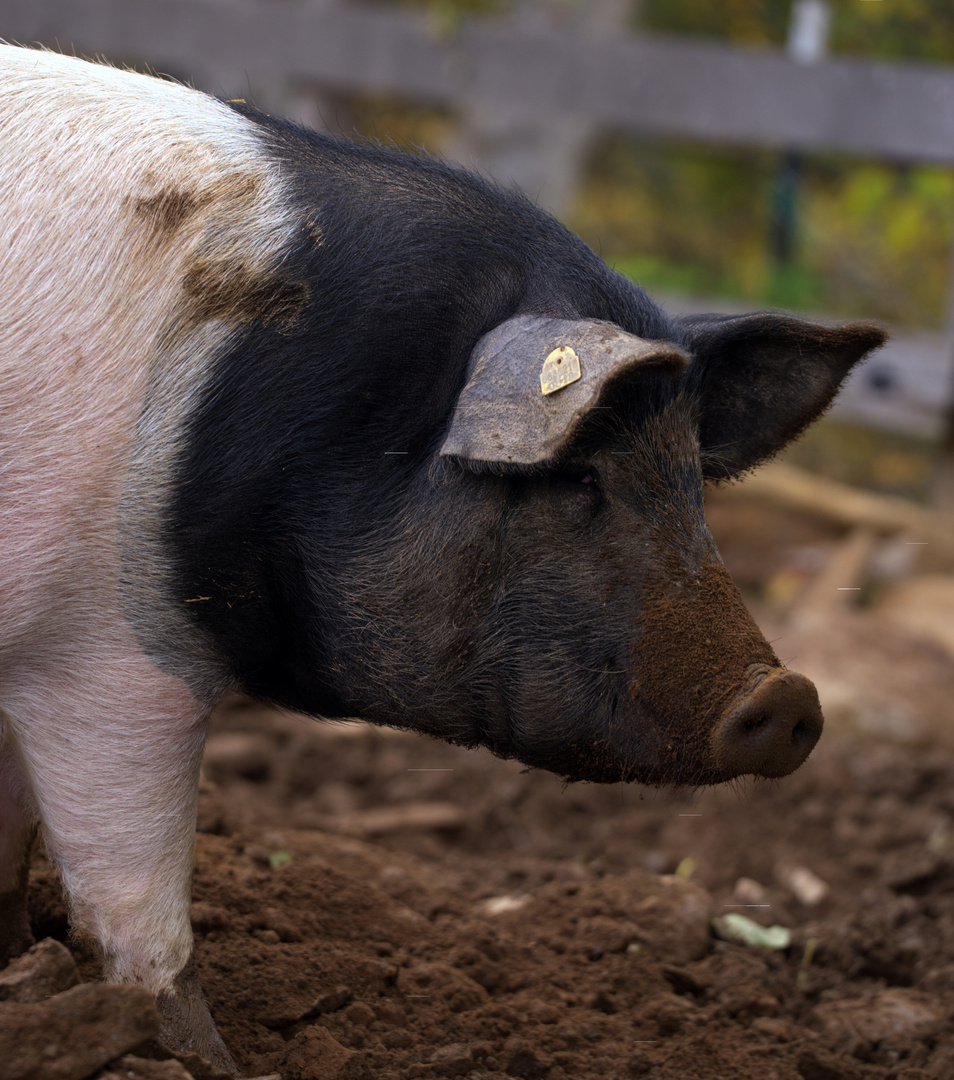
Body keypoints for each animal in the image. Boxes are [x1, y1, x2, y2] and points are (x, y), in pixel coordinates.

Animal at [0, 44, 885, 1071]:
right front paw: (204, 1061)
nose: (788, 696)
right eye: (580, 475)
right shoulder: (110, 657)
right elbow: (140, 922)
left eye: (694, 480)